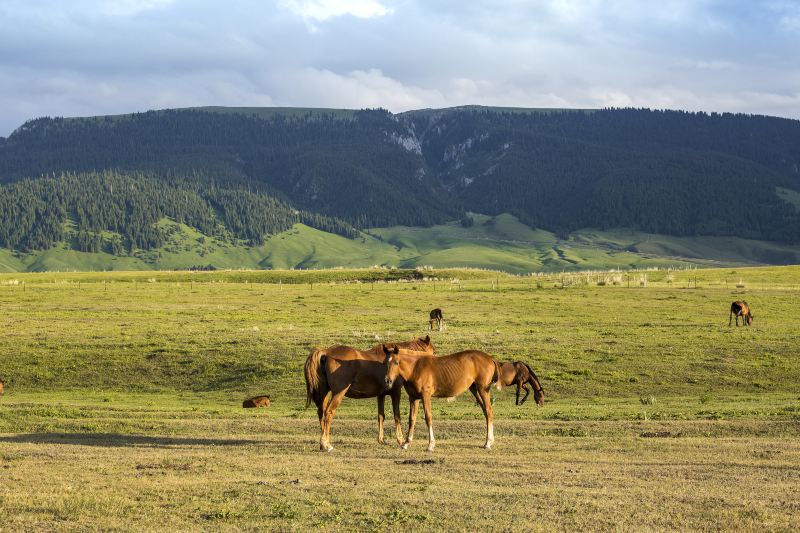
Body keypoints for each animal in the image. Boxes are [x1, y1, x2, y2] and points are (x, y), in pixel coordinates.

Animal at [304, 334, 434, 450]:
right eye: (433, 352)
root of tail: (326, 352)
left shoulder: (381, 395)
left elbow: (381, 416)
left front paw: (381, 440)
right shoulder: (395, 392)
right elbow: (397, 416)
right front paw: (401, 440)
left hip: (325, 393)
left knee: (321, 413)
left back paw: (323, 443)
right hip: (337, 393)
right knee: (328, 412)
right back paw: (326, 444)